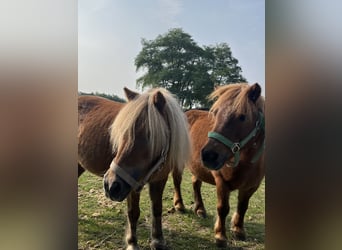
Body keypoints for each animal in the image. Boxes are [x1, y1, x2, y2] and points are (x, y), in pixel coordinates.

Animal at [78, 87, 192, 249]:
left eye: (149, 135)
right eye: (121, 133)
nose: (110, 185)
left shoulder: (159, 179)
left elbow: (157, 208)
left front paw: (158, 239)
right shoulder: (131, 184)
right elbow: (133, 212)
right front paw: (132, 242)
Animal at [174, 83, 264, 247]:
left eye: (243, 116)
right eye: (215, 113)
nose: (208, 155)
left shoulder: (251, 186)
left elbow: (243, 207)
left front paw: (238, 230)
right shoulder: (222, 182)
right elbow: (223, 208)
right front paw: (220, 236)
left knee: (196, 183)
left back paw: (200, 209)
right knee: (177, 180)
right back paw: (179, 205)